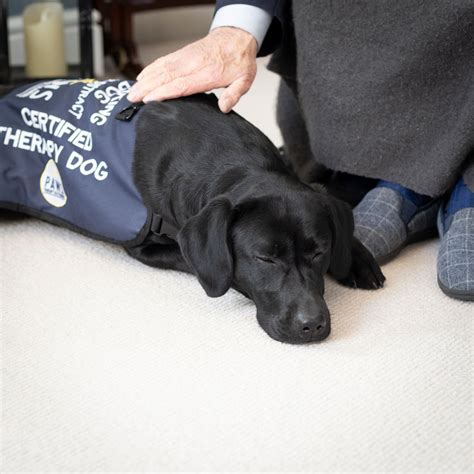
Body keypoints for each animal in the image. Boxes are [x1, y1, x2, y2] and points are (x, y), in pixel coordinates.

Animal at [0, 80, 384, 344]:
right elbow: (210, 268)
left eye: (319, 252)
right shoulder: (147, 248)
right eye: (265, 259)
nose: (312, 325)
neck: (237, 164)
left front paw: (356, 258)